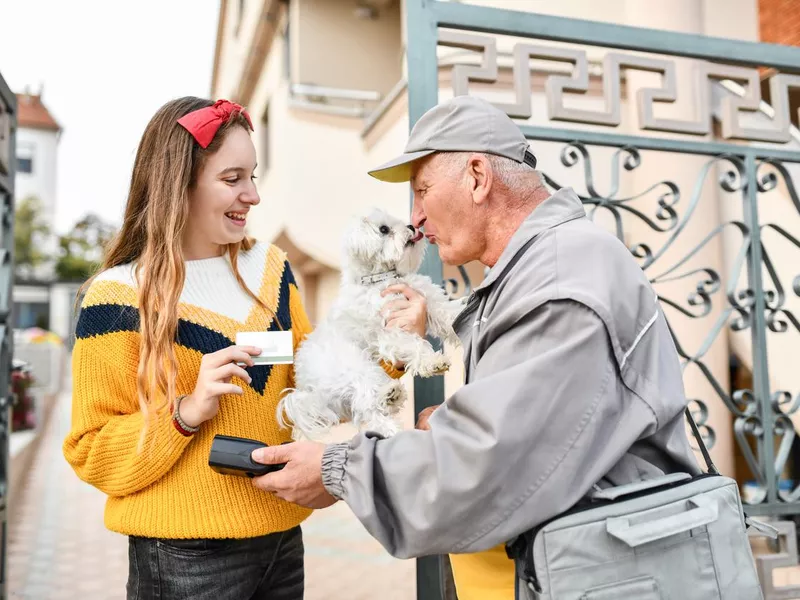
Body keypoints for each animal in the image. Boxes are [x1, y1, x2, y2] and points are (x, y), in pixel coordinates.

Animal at [276, 209, 460, 438]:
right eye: (384, 229)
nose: (411, 226)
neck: (381, 278)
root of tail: (308, 388)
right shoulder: (390, 331)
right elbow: (413, 344)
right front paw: (432, 362)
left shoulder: (430, 301)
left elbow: (449, 314)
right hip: (354, 366)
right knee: (367, 403)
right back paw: (390, 399)